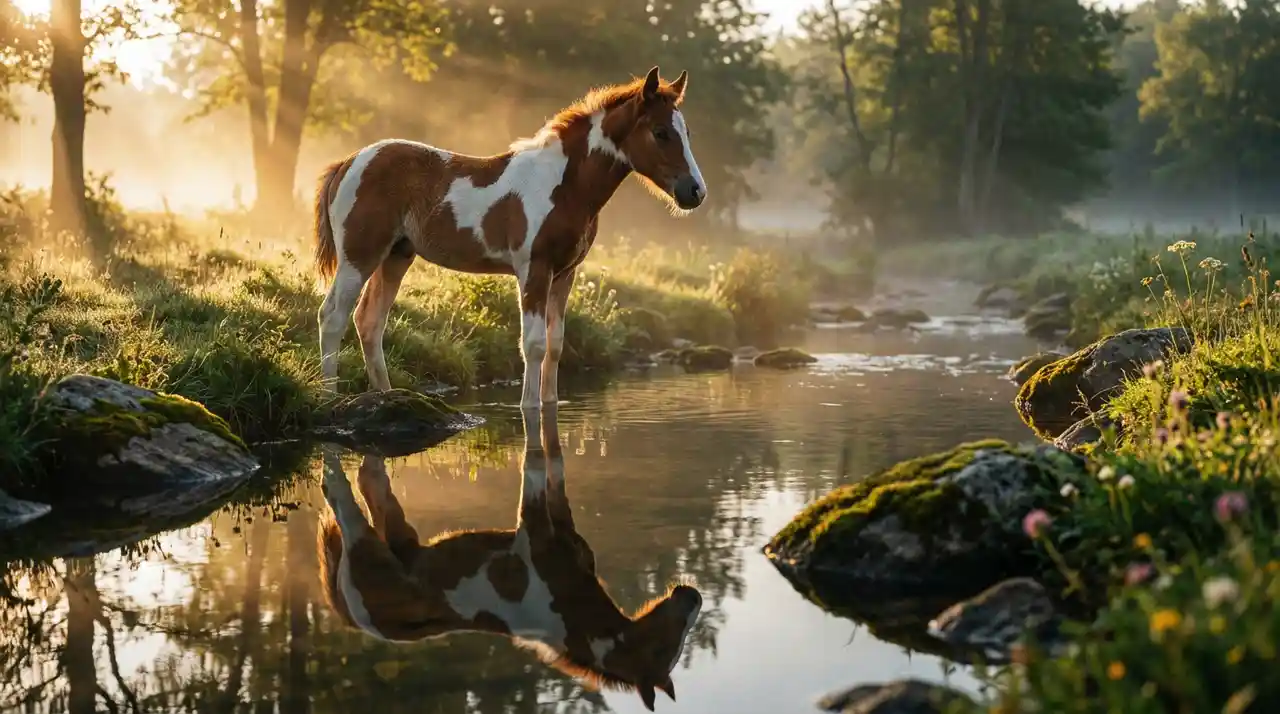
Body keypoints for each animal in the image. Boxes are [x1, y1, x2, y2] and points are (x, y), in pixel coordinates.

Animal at [312, 66, 707, 406]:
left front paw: (550, 405)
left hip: (396, 255)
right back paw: (331, 397)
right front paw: (529, 408)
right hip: (358, 256)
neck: (563, 186)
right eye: (660, 132)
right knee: (332, 316)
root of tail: (348, 162)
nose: (695, 192)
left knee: (369, 322)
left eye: (688, 133)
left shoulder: (565, 274)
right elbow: (532, 344)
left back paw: (386, 396)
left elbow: (556, 344)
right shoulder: (534, 269)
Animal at [315, 404, 703, 711]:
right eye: (662, 650)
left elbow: (555, 465)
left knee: (370, 482)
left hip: (397, 534)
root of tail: (347, 614)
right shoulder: (532, 527)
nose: (694, 595)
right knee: (336, 493)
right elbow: (533, 467)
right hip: (359, 539)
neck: (566, 608)